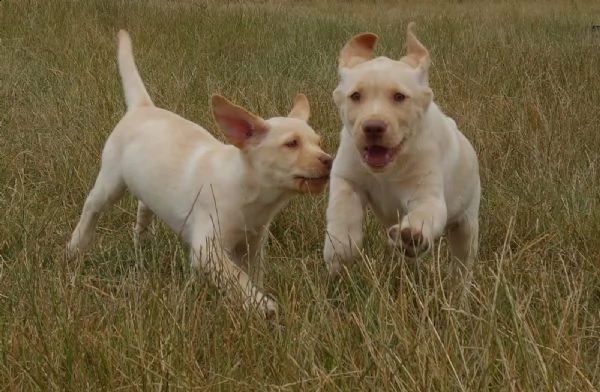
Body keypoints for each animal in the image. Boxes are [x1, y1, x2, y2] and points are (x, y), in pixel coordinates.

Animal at [70, 30, 336, 318]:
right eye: (292, 144)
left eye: (318, 143)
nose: (329, 161)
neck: (250, 190)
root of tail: (143, 106)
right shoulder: (207, 248)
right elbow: (237, 278)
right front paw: (262, 305)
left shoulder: (252, 244)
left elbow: (250, 275)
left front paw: (255, 300)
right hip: (111, 180)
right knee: (92, 206)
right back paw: (76, 246)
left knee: (143, 207)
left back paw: (143, 240)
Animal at [324, 23, 482, 288]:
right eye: (356, 96)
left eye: (399, 97)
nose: (373, 127)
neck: (388, 169)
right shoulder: (347, 177)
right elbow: (342, 210)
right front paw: (340, 249)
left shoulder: (428, 195)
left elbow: (424, 213)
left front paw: (412, 236)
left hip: (467, 223)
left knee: (462, 263)